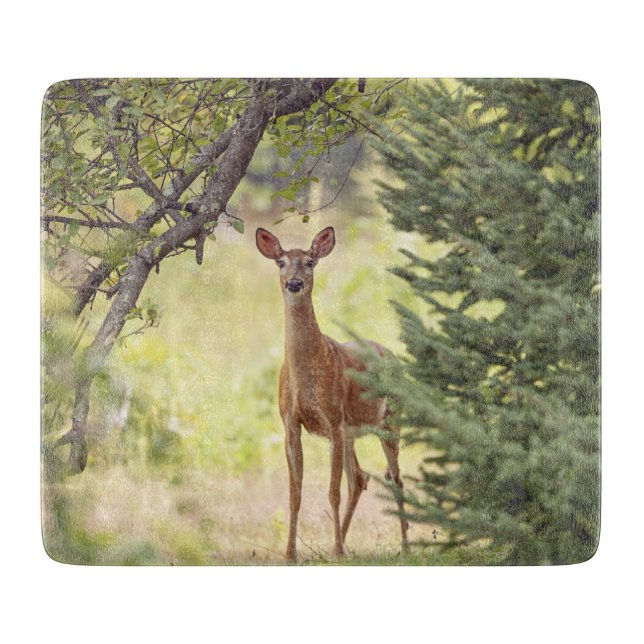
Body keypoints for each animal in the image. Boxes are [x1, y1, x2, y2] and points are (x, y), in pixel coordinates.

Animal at [256, 226, 409, 563]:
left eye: (310, 262)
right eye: (281, 262)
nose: (294, 283)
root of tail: (392, 355)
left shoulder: (334, 419)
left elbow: (332, 491)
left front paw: (336, 550)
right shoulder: (290, 424)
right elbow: (295, 493)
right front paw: (290, 554)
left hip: (390, 421)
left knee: (395, 479)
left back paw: (404, 546)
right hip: (353, 431)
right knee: (361, 478)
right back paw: (342, 545)